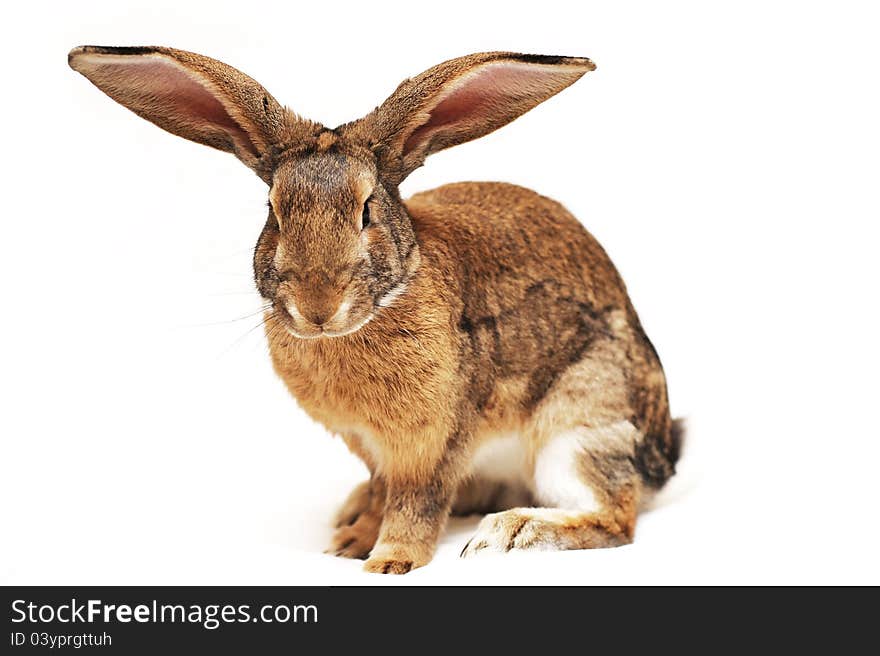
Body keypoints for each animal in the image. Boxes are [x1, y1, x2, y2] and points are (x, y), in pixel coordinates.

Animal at [70, 44, 680, 576]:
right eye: (274, 212)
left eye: (367, 210)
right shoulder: (370, 446)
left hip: (580, 423)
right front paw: (350, 544)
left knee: (613, 517)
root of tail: (664, 455)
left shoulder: (432, 442)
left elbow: (415, 503)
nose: (317, 307)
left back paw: (509, 531)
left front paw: (389, 561)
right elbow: (386, 491)